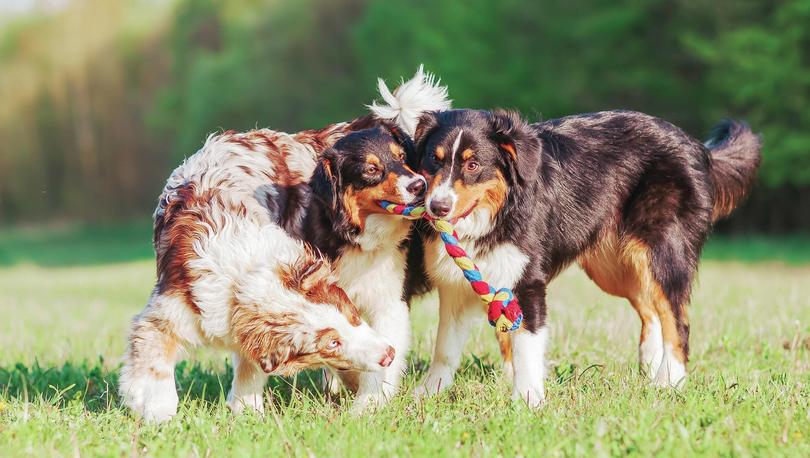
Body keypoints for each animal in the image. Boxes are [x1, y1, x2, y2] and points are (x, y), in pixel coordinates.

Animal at [408, 109, 760, 406]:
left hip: (661, 252)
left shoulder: (527, 283)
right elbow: (445, 348)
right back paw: (649, 367)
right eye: (433, 160)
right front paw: (427, 393)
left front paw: (527, 399)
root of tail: (699, 148)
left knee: (677, 319)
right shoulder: (458, 285)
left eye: (473, 165)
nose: (437, 207)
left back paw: (668, 381)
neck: (499, 211)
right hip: (616, 267)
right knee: (651, 310)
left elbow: (526, 345)